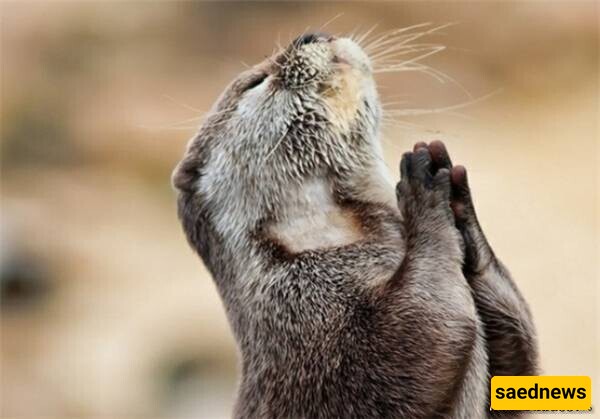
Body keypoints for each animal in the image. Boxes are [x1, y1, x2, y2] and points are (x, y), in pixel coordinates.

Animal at [172, 31, 540, 418]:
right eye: (255, 82)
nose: (310, 34)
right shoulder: (307, 315)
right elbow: (418, 333)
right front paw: (422, 193)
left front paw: (460, 209)